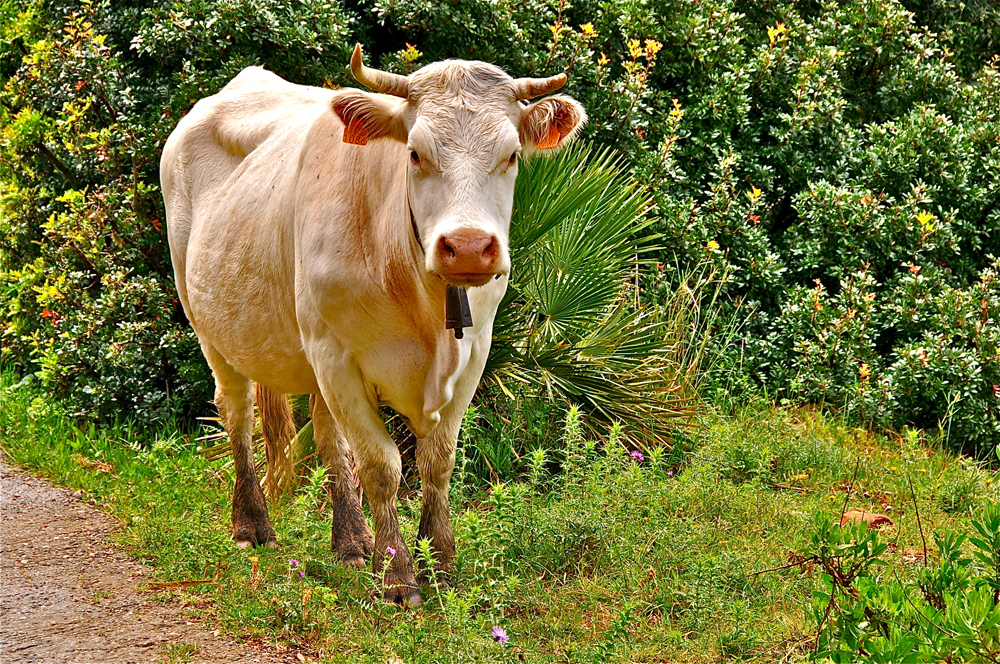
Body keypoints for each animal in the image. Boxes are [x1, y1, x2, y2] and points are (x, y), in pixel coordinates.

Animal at [162, 45, 584, 608]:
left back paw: (352, 540)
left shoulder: (475, 352)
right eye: (416, 154)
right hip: (208, 321)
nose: (469, 246)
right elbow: (382, 466)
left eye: (512, 155)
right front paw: (400, 574)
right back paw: (252, 523)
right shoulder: (337, 357)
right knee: (238, 411)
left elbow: (437, 460)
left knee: (325, 436)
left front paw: (439, 560)